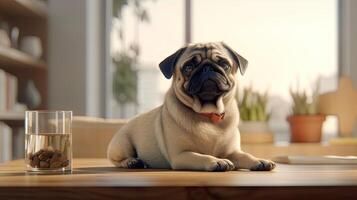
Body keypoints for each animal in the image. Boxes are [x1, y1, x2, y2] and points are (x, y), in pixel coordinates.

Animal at [108, 42, 276, 172]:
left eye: (224, 64)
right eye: (188, 67)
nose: (207, 68)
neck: (208, 114)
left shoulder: (233, 152)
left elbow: (246, 155)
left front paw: (259, 160)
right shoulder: (181, 155)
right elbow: (202, 157)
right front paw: (217, 161)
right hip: (123, 143)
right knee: (116, 160)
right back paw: (132, 162)